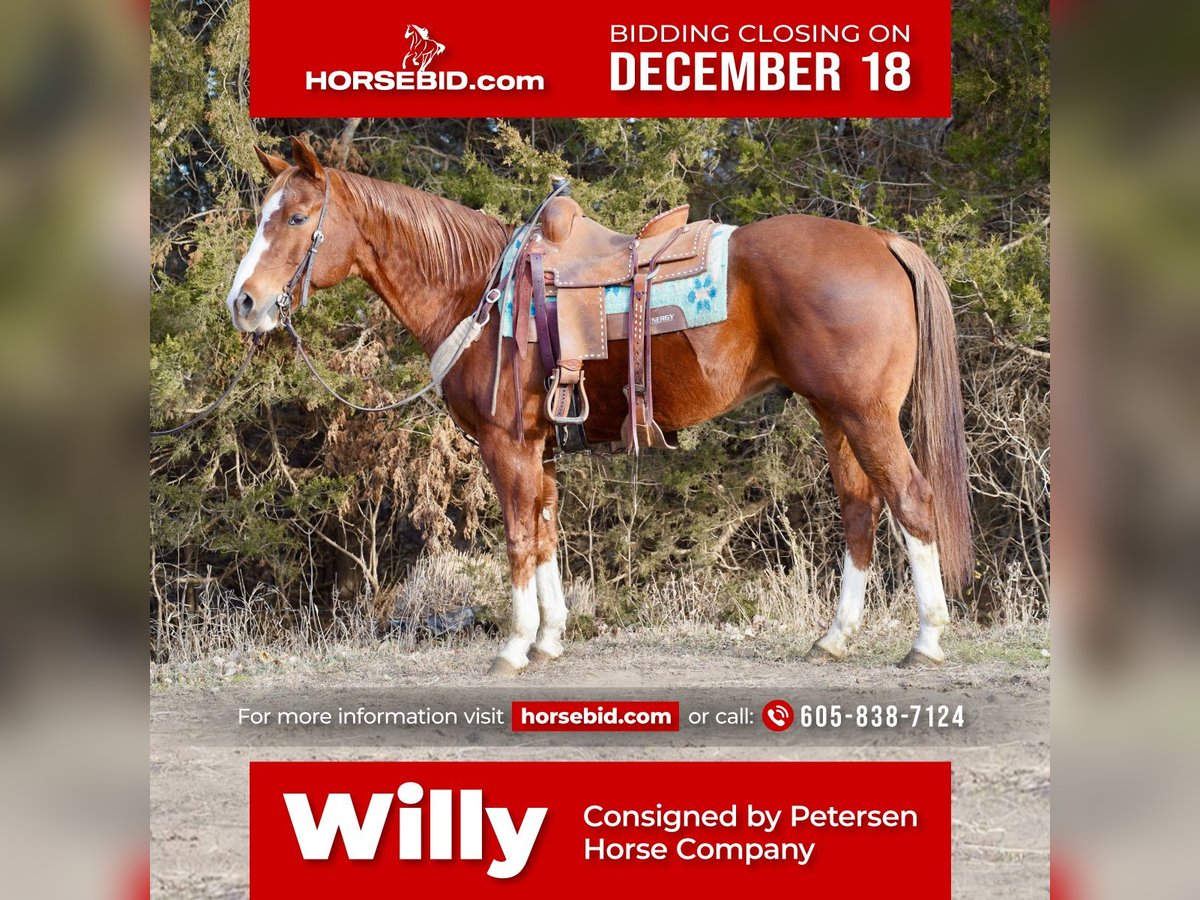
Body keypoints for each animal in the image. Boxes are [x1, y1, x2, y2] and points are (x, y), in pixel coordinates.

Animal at [228, 137, 971, 675]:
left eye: (296, 218)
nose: (244, 302)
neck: (478, 291)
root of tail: (882, 241)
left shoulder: (507, 445)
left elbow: (518, 539)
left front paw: (513, 648)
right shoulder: (542, 448)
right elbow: (547, 534)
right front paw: (550, 640)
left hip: (865, 415)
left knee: (910, 499)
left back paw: (927, 640)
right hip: (833, 415)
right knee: (859, 509)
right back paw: (835, 638)